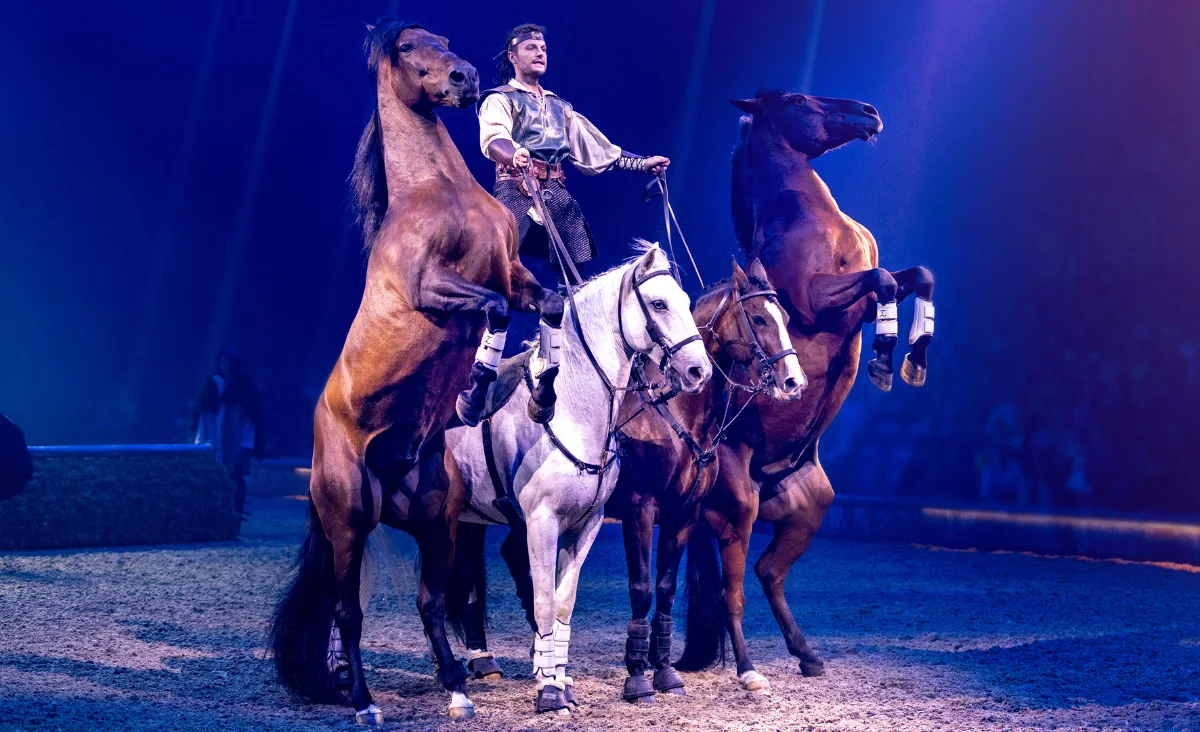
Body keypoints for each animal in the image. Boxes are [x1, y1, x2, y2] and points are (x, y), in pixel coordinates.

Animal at [269, 21, 562, 725]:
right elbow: (491, 310)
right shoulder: (435, 287)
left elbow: (550, 305)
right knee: (348, 613)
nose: (464, 78)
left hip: (433, 516)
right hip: (349, 518)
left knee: (430, 603)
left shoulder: (515, 273)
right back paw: (364, 704)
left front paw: (541, 392)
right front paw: (475, 392)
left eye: (444, 37)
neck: (438, 192)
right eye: (406, 48)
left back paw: (457, 690)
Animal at [442, 243, 711, 714]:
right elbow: (545, 599)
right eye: (659, 303)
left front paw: (559, 681)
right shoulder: (544, 522)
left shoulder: (586, 524)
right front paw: (549, 692)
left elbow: (563, 603)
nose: (700, 370)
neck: (568, 409)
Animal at [607, 257, 806, 703]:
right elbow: (642, 588)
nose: (794, 382)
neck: (673, 411)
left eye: (785, 318)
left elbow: (677, 589)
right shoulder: (639, 509)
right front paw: (637, 679)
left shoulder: (688, 515)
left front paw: (667, 673)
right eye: (758, 318)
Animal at [676, 90, 936, 692]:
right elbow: (883, 282)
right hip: (739, 509)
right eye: (797, 99)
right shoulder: (819, 301)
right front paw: (887, 354)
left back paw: (808, 654)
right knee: (734, 583)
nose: (868, 113)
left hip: (811, 507)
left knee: (769, 571)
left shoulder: (859, 299)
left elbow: (916, 275)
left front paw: (913, 355)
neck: (811, 218)